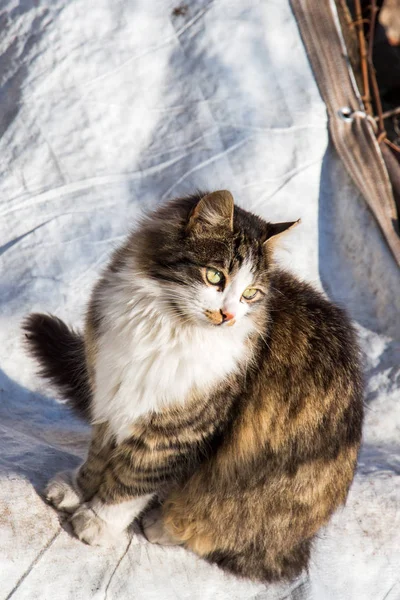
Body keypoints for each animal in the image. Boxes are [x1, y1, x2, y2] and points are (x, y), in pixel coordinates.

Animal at [23, 191, 364, 580]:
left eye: (250, 294)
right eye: (215, 276)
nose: (228, 315)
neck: (164, 326)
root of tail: (301, 544)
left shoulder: (174, 431)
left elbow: (132, 482)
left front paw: (98, 520)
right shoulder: (113, 396)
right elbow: (99, 457)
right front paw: (79, 490)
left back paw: (162, 524)